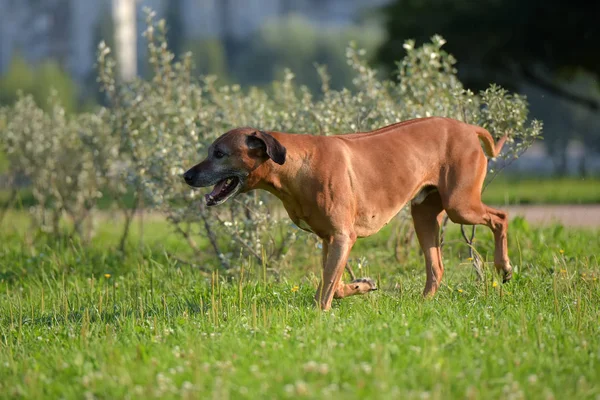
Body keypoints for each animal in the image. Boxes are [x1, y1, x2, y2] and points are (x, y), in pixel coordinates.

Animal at [183, 117, 510, 310]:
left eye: (219, 154)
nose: (186, 175)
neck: (296, 164)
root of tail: (467, 127)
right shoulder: (328, 239)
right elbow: (333, 284)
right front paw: (359, 286)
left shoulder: (342, 237)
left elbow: (323, 293)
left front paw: (321, 313)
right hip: (424, 214)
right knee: (437, 267)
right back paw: (424, 302)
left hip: (460, 205)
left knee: (500, 218)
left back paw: (504, 266)